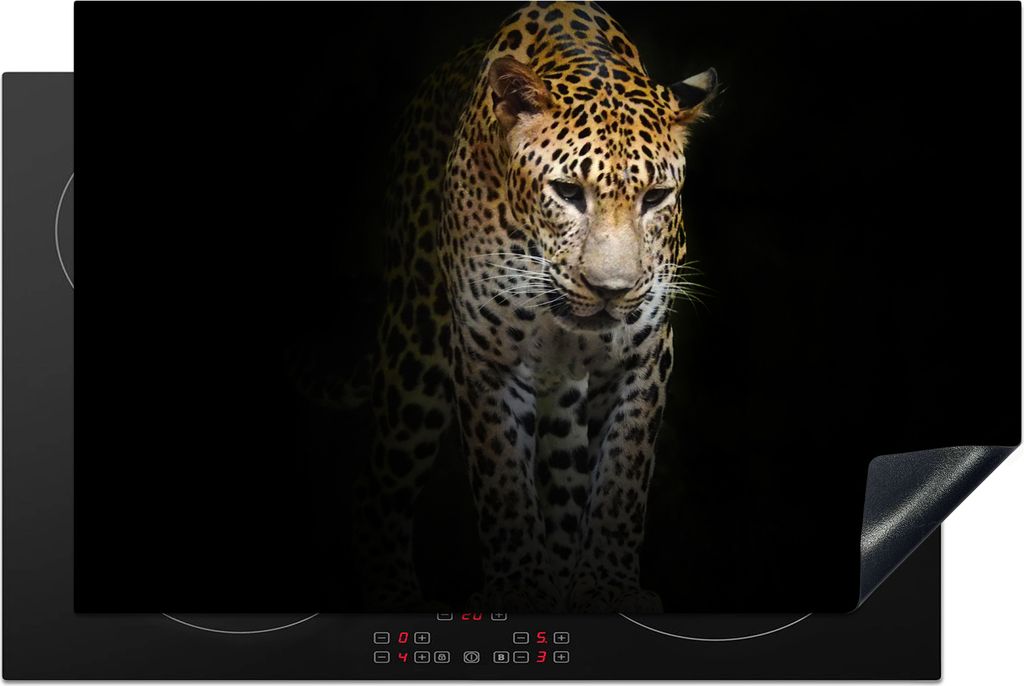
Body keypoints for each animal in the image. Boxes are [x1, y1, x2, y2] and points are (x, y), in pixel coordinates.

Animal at [352, 0, 717, 613]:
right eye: (567, 192)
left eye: (655, 198)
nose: (611, 289)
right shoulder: (484, 356)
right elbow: (501, 478)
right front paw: (518, 584)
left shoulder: (644, 356)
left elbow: (623, 476)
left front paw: (607, 585)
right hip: (412, 359)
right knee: (385, 481)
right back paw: (390, 588)